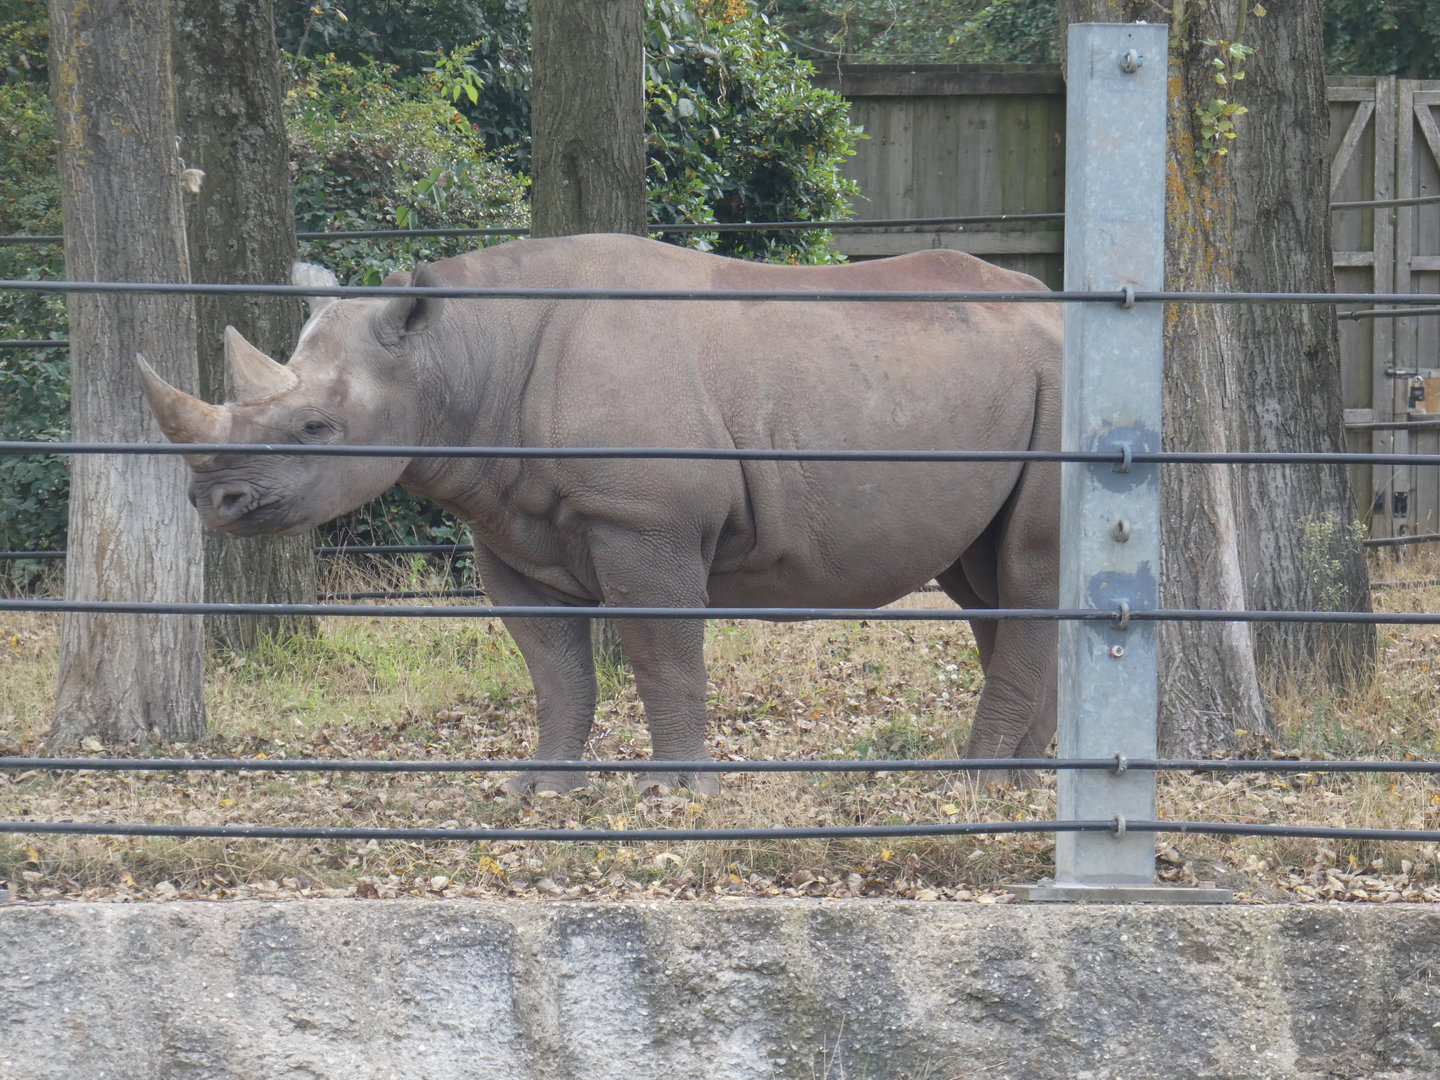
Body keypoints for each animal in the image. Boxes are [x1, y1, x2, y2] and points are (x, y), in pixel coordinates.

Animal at [139, 233, 1062, 794]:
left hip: (1062, 386)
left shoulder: (644, 520)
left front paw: (671, 789)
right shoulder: (506, 522)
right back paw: (1028, 780)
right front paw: (537, 785)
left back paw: (975, 780)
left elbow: (660, 653)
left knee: (1027, 571)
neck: (459, 357)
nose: (213, 501)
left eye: (316, 429)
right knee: (987, 585)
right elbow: (553, 667)